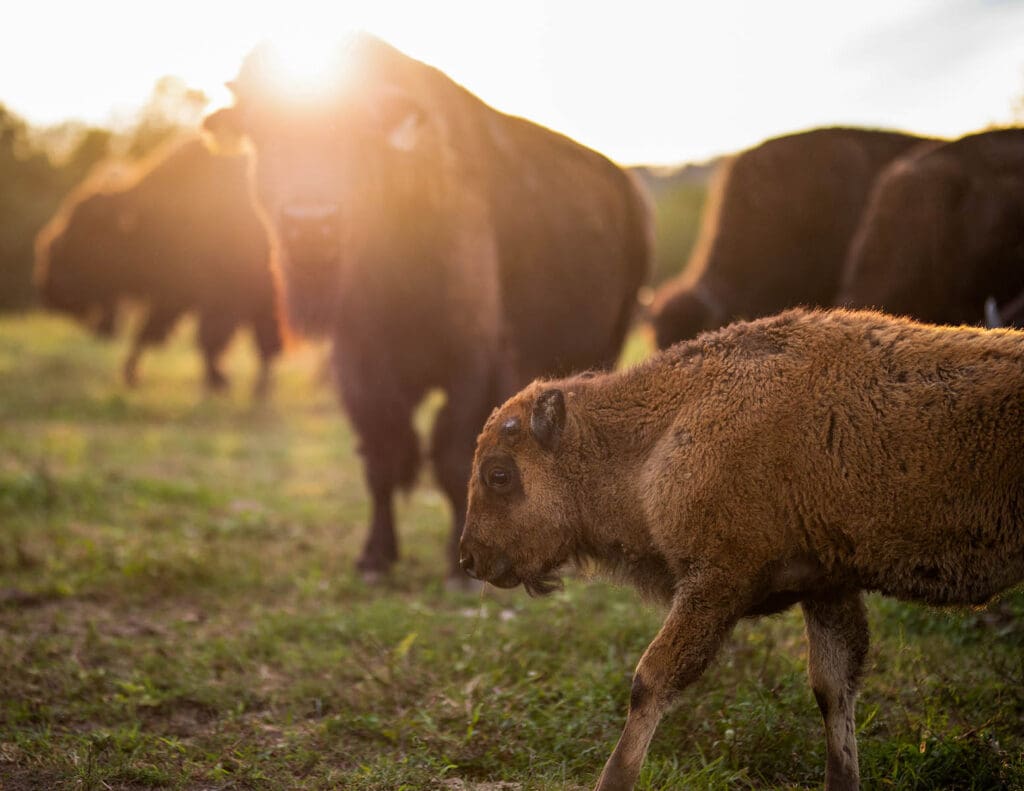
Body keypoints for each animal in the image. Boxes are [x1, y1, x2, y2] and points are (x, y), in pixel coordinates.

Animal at [35, 138, 282, 396]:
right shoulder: (173, 296)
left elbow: (211, 338)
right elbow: (147, 333)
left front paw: (219, 381)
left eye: (89, 232)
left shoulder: (226, 297)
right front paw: (129, 375)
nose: (48, 289)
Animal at [204, 34, 651, 581]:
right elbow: (383, 453)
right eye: (262, 132)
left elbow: (457, 456)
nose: (311, 221)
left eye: (357, 135)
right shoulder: (361, 365)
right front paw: (375, 557)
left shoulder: (472, 364)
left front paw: (460, 573)